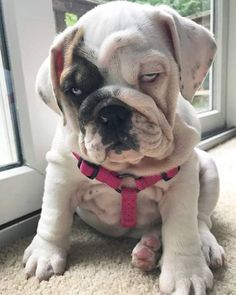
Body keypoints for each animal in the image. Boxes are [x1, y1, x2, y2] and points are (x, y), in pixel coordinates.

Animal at [23, 1, 225, 294]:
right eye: (74, 90)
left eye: (151, 75)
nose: (112, 112)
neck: (130, 168)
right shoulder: (61, 174)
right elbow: (53, 216)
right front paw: (44, 254)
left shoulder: (183, 184)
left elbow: (182, 228)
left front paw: (185, 273)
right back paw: (148, 250)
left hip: (209, 170)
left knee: (201, 220)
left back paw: (200, 246)